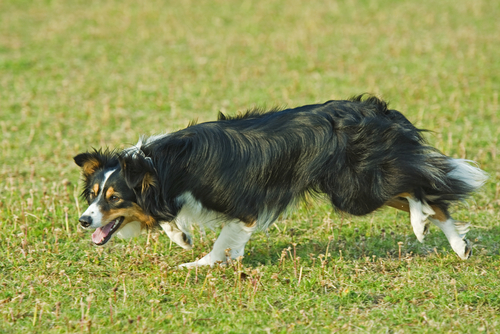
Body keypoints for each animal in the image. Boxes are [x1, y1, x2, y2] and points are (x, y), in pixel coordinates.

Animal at [75, 95, 488, 268]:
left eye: (114, 198)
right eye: (93, 194)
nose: (83, 220)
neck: (160, 166)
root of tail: (374, 108)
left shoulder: (243, 206)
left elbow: (224, 241)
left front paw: (200, 264)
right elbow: (169, 221)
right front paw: (181, 236)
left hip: (354, 189)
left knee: (421, 187)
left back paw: (421, 225)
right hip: (356, 186)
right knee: (431, 194)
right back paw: (458, 246)